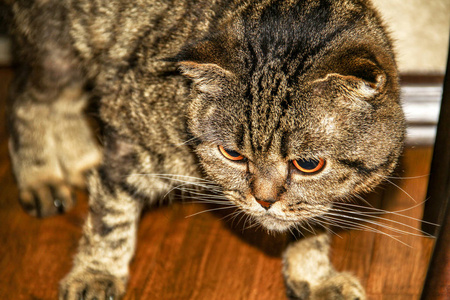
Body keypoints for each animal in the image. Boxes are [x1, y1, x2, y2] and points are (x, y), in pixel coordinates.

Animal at [6, 0, 404, 298]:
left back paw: (80, 161)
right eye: (233, 155)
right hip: (56, 53)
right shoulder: (127, 141)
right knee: (28, 101)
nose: (264, 200)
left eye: (308, 164)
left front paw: (315, 275)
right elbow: (110, 218)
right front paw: (96, 274)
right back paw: (41, 178)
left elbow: (312, 224)